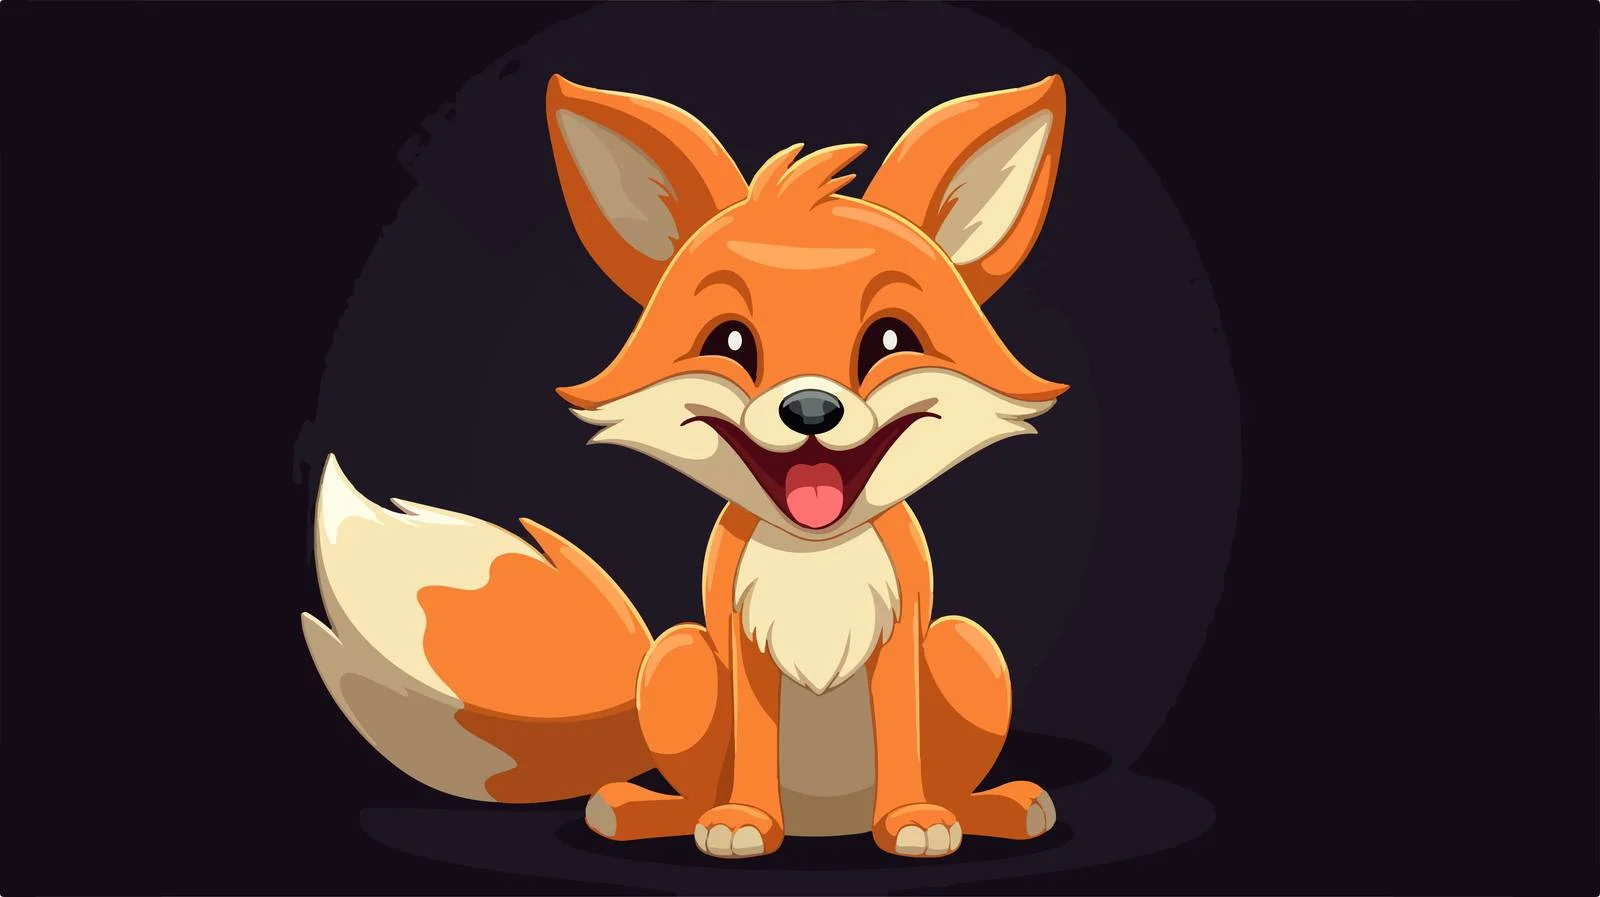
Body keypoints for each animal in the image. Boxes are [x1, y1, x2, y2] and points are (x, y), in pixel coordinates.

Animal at [303, 72, 1070, 860]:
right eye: (729, 342)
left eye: (890, 340)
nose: (812, 409)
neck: (814, 557)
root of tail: (828, 822)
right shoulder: (738, 639)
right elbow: (754, 747)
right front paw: (745, 823)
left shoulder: (902, 636)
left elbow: (902, 743)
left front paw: (914, 818)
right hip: (678, 659)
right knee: (688, 780)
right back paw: (656, 811)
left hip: (965, 646)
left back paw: (987, 806)